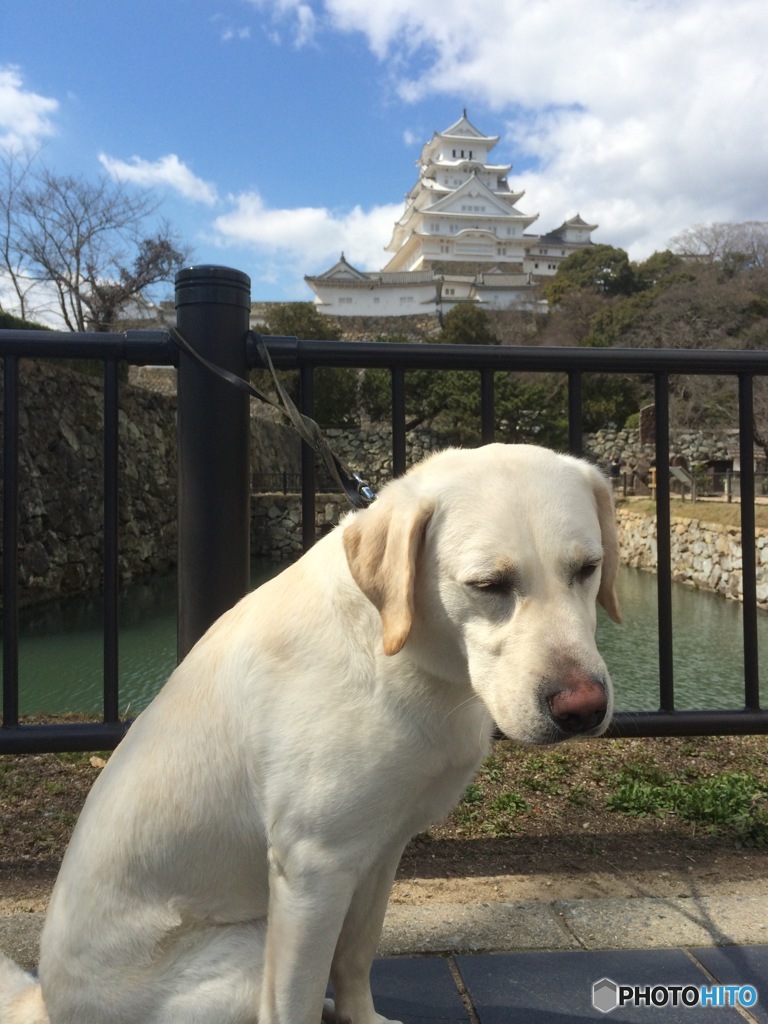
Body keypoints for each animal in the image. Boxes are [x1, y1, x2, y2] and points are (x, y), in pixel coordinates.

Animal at [0, 446, 622, 1024]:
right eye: (489, 584)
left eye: (587, 568)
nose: (583, 709)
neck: (406, 653)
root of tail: (48, 1004)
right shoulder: (313, 868)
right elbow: (295, 997)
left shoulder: (379, 849)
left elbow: (355, 956)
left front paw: (360, 1016)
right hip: (248, 949)